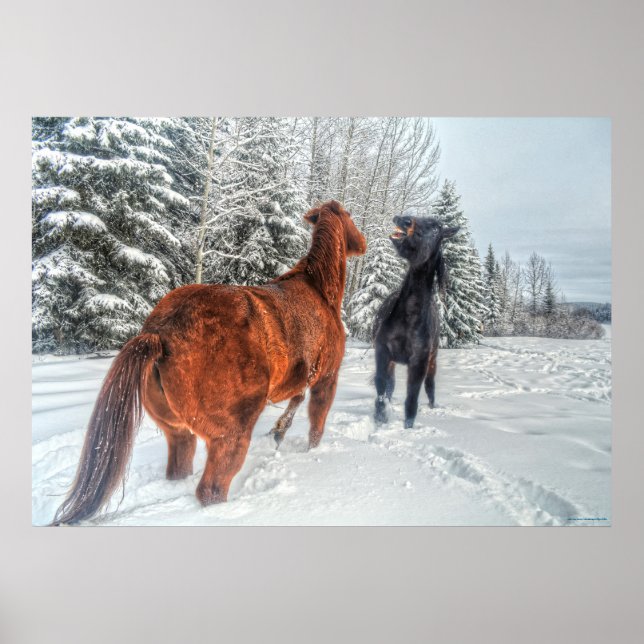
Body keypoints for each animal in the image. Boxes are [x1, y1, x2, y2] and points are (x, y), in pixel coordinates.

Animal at [52, 200, 366, 525]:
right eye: (350, 218)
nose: (363, 244)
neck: (318, 290)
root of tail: (159, 333)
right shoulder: (327, 379)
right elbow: (316, 424)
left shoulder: (300, 379)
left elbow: (295, 401)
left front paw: (278, 432)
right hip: (230, 437)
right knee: (211, 490)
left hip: (177, 432)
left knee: (180, 468)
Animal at [372, 214, 458, 428]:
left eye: (437, 228)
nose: (404, 220)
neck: (409, 317)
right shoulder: (383, 352)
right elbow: (381, 388)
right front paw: (380, 418)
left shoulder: (419, 362)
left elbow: (412, 399)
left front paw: (408, 427)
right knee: (390, 386)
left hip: (432, 361)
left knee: (430, 386)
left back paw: (433, 406)